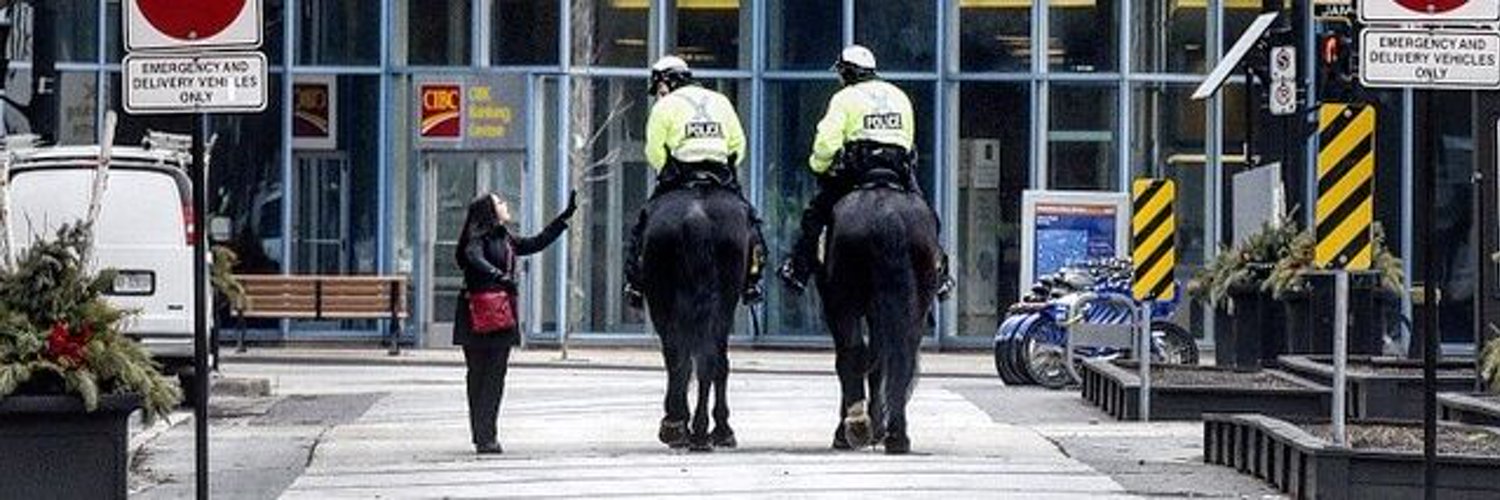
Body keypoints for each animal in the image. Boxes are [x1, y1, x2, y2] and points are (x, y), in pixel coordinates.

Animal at [639, 183, 750, 450]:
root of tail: (696, 218)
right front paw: (721, 429)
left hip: (663, 301)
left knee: (679, 357)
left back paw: (680, 427)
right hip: (719, 304)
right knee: (706, 360)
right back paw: (700, 431)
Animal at [822, 184, 936, 453]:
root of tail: (888, 215)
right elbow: (879, 363)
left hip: (843, 301)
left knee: (854, 353)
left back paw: (857, 427)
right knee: (899, 357)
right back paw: (895, 435)